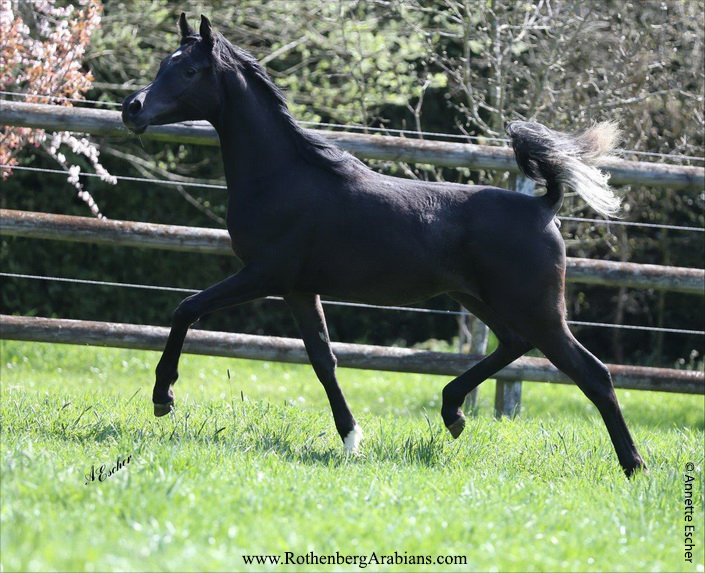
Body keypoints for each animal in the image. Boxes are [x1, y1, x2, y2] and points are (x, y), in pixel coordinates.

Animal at [122, 14, 646, 477]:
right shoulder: (298, 289)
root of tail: (544, 207)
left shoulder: (263, 275)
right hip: (479, 299)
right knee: (514, 344)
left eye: (189, 70)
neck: (282, 176)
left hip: (536, 309)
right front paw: (351, 438)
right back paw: (452, 412)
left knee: (593, 373)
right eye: (163, 64)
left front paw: (163, 398)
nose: (132, 109)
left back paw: (634, 466)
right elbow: (323, 359)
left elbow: (186, 309)